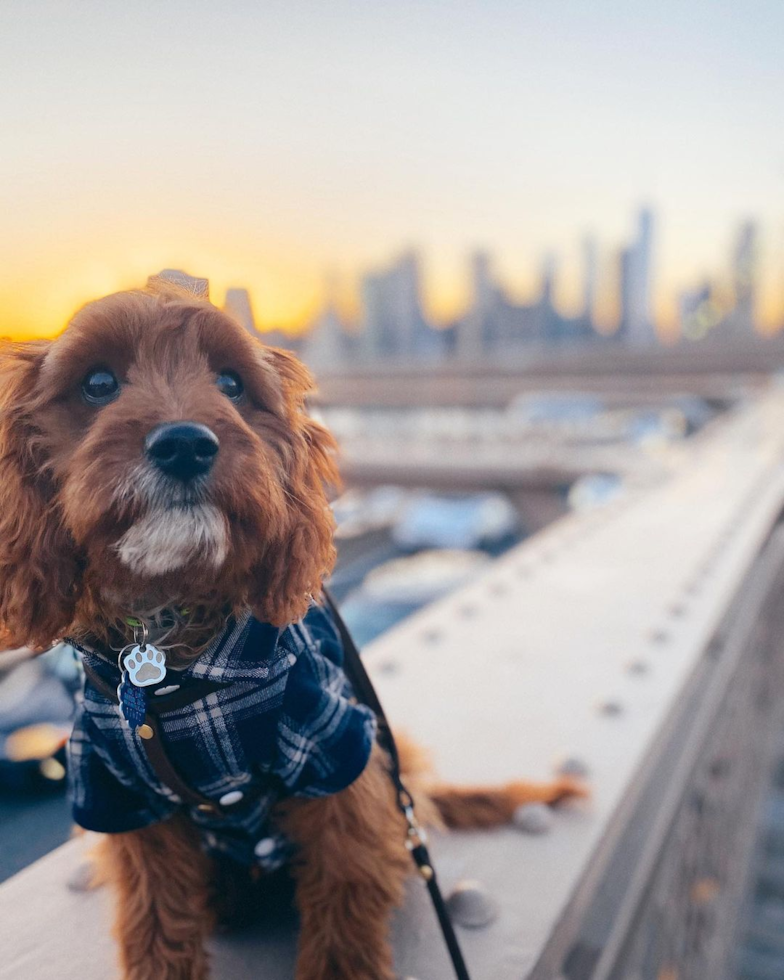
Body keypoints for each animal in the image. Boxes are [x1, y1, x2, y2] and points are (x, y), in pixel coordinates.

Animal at [0, 286, 584, 980]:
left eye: (231, 383)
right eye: (97, 383)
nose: (185, 443)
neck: (172, 656)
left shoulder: (336, 749)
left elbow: (346, 893)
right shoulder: (115, 788)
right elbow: (156, 920)